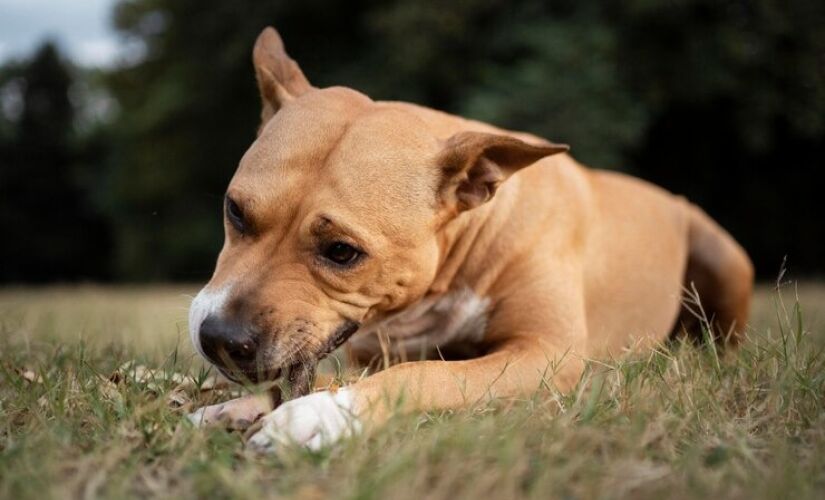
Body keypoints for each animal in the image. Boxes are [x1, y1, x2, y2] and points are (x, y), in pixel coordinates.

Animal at [187, 26, 752, 450]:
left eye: (342, 252)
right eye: (235, 211)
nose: (219, 339)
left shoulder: (545, 354)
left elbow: (426, 376)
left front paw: (321, 416)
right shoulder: (371, 354)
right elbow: (313, 378)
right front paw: (235, 407)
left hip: (724, 255)